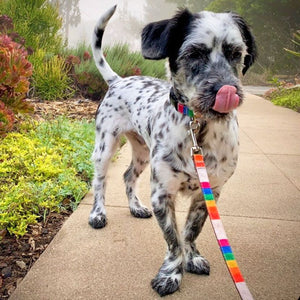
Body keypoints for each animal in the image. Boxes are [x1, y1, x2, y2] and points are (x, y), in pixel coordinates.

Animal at [88, 5, 256, 298]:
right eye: (194, 53)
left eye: (236, 53)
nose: (226, 90)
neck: (198, 128)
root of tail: (118, 80)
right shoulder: (162, 193)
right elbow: (173, 240)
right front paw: (171, 274)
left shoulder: (208, 194)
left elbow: (190, 232)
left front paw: (193, 258)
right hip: (105, 146)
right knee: (100, 181)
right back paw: (98, 213)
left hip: (142, 152)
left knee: (128, 176)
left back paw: (136, 207)